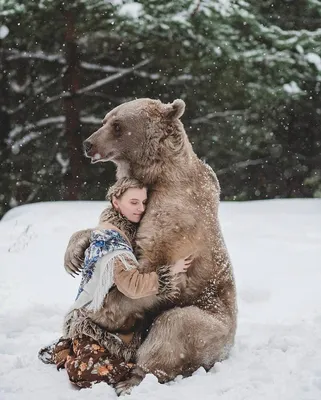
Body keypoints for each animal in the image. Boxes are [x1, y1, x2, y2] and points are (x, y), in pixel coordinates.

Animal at [63, 99, 236, 394]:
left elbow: (144, 280)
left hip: (213, 324)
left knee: (173, 327)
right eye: (105, 119)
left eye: (117, 125)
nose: (88, 144)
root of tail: (229, 350)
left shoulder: (175, 220)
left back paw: (131, 379)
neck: (159, 174)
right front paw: (73, 255)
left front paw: (85, 316)